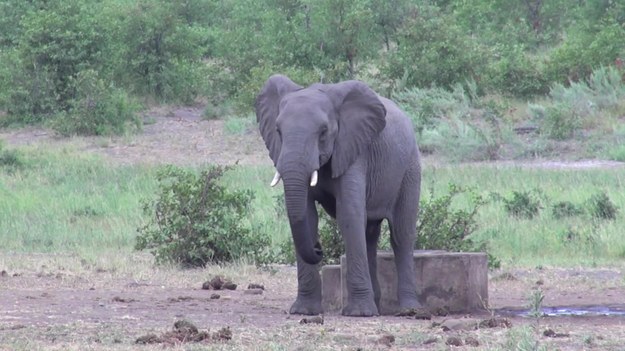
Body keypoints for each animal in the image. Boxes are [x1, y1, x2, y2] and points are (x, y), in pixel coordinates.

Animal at [256, 74, 422, 316]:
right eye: (278, 131)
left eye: (323, 132)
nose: (318, 248)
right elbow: (308, 216)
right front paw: (304, 311)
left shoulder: (354, 151)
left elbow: (349, 214)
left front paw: (360, 314)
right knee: (370, 233)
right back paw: (377, 305)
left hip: (410, 168)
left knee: (402, 233)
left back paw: (409, 310)